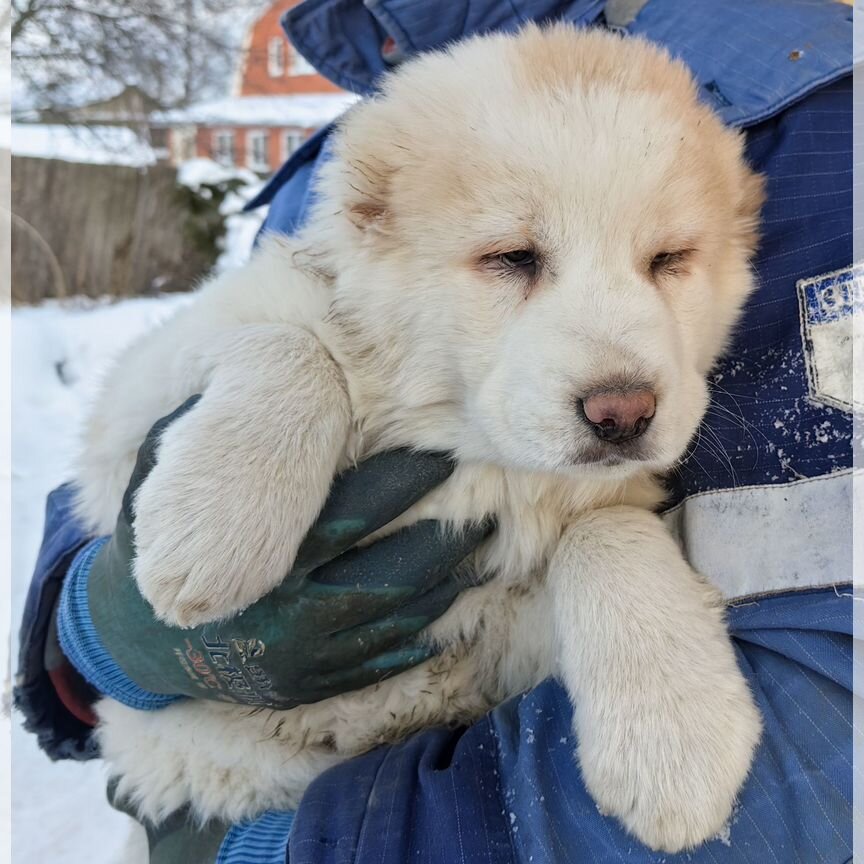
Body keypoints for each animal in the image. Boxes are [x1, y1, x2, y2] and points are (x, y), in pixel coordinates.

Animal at [74, 25, 764, 852]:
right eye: (513, 257)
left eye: (668, 260)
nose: (623, 413)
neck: (467, 444)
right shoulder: (140, 398)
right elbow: (288, 343)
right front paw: (211, 534)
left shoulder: (504, 624)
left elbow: (606, 530)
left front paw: (675, 745)